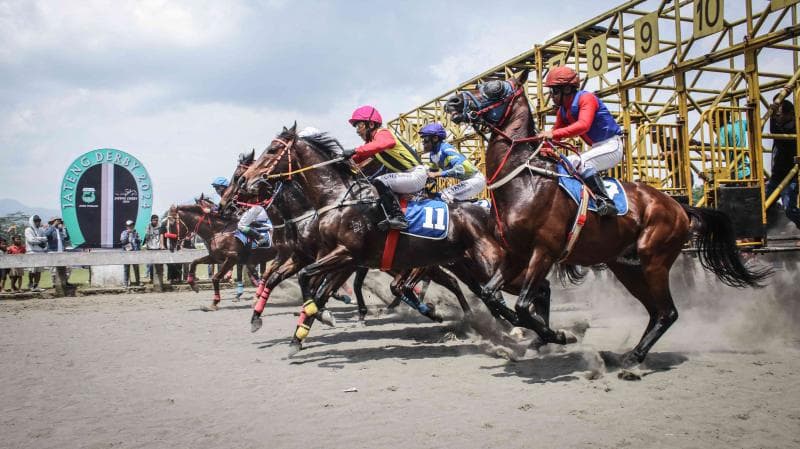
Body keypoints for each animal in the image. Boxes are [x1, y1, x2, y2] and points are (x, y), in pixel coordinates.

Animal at [446, 69, 772, 364]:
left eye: (495, 87)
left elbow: (525, 305)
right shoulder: (516, 253)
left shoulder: (545, 251)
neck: (526, 180)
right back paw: (629, 353)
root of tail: (679, 207)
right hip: (625, 266)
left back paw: (634, 358)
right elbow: (491, 295)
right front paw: (534, 334)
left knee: (668, 311)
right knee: (656, 311)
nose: (452, 102)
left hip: (655, 259)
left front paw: (559, 335)